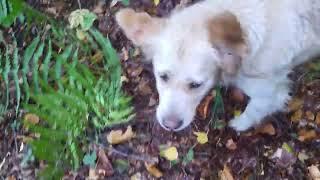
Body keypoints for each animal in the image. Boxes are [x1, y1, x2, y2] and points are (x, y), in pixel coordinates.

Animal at [115, 0, 320, 131]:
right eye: (163, 76)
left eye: (196, 85)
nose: (170, 125)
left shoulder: (271, 93)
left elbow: (254, 110)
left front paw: (239, 125)